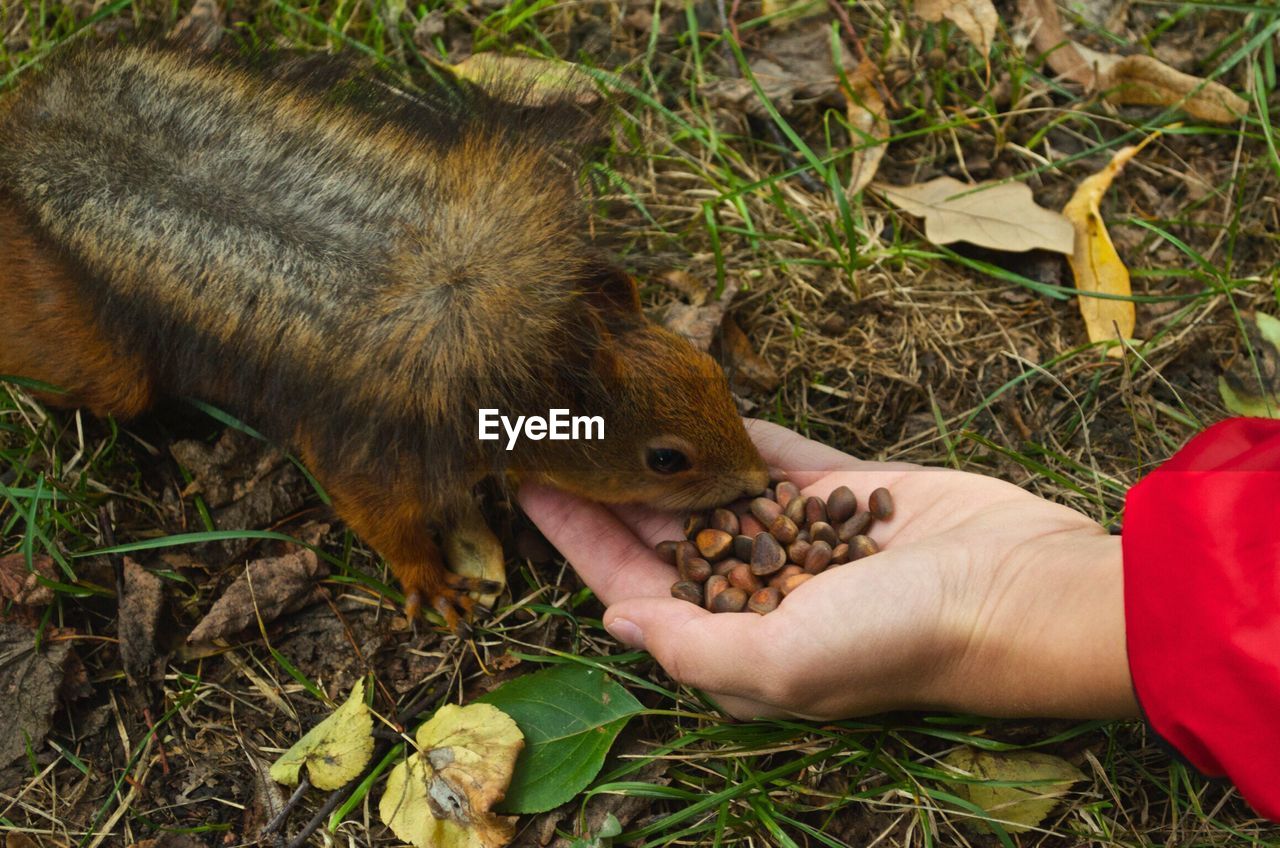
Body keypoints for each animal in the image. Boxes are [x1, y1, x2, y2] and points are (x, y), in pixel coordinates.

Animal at [0, 43, 768, 635]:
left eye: (709, 370)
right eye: (665, 459)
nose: (760, 482)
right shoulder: (374, 439)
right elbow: (374, 510)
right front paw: (429, 581)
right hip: (105, 368)